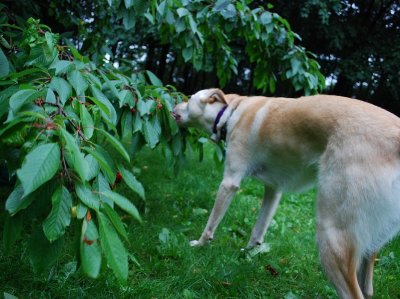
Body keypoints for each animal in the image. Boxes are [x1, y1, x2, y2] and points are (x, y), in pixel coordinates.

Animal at [173, 89, 400, 299]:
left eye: (190, 98)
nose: (174, 106)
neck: (231, 111)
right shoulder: (274, 190)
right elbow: (258, 230)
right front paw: (248, 253)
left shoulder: (230, 182)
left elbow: (211, 224)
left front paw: (200, 245)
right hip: (368, 245)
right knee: (367, 288)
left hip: (331, 234)